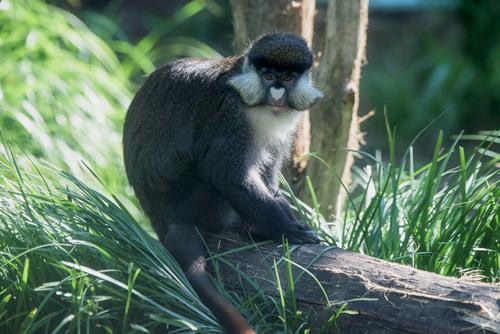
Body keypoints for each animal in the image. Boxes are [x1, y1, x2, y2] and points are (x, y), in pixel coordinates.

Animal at [123, 32, 322, 334]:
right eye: (268, 76)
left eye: (287, 78)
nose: (277, 93)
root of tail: (162, 216)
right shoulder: (229, 115)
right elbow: (225, 174)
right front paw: (287, 229)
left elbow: (268, 173)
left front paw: (282, 210)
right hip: (199, 202)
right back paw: (254, 230)